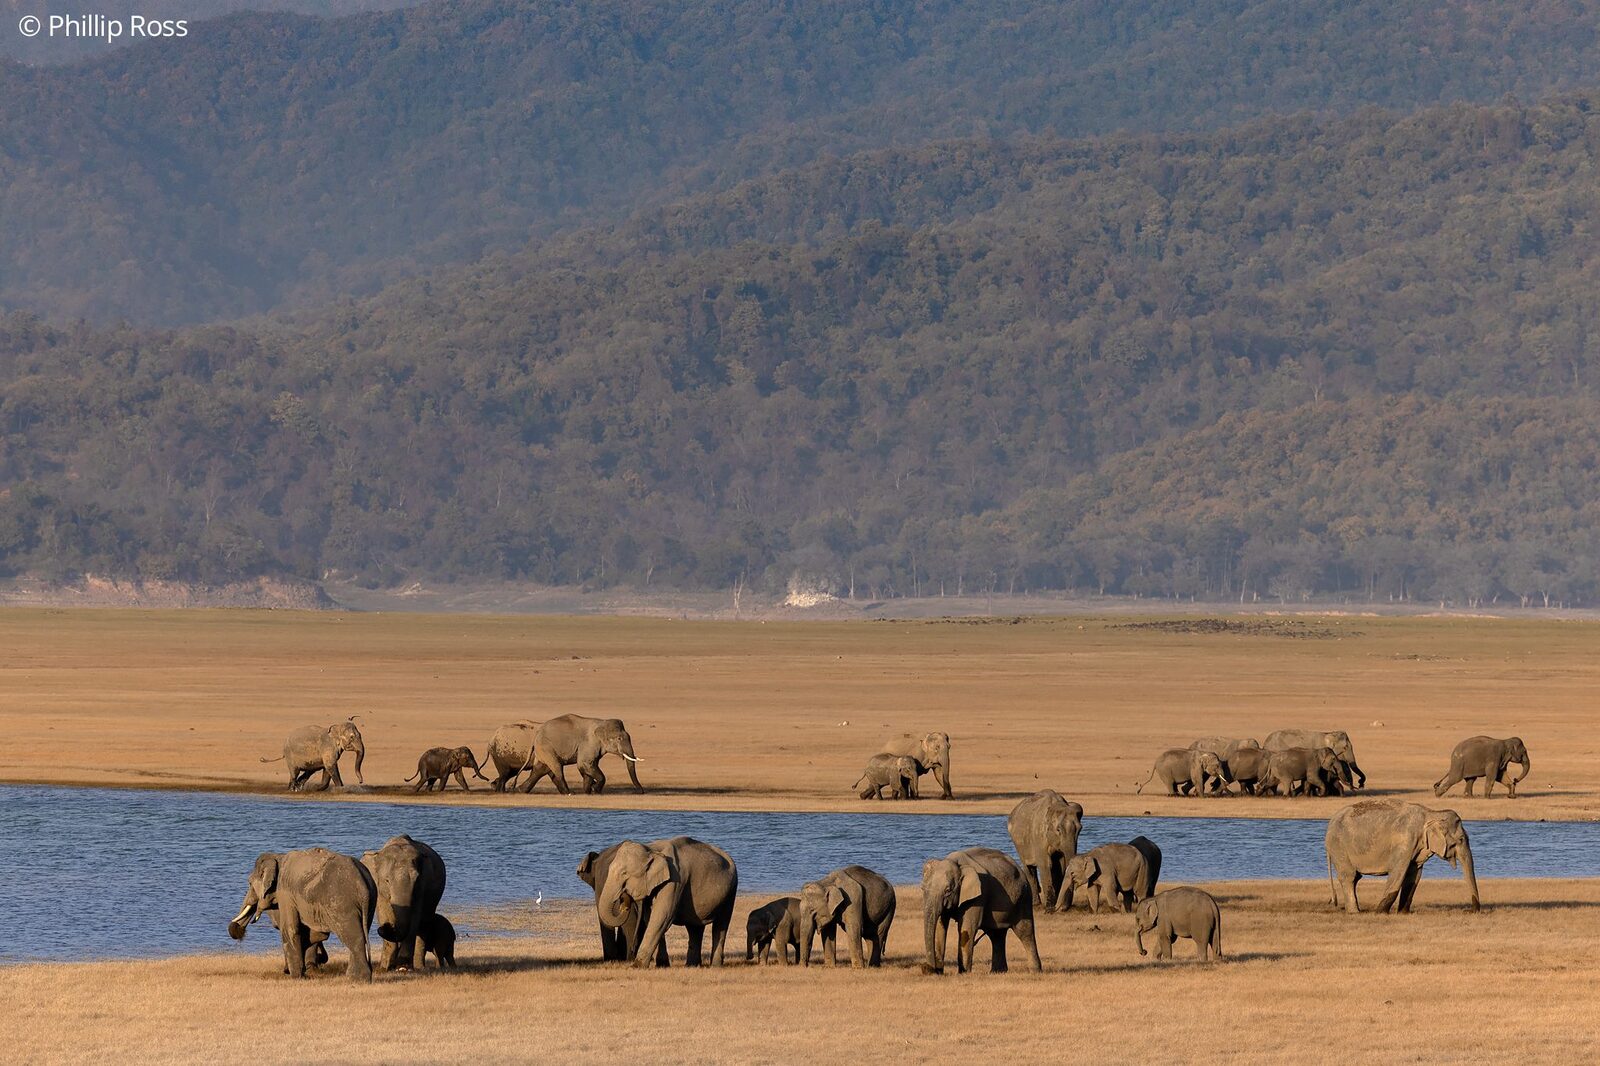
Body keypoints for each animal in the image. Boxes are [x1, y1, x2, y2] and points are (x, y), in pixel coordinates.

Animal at [228, 848, 375, 982]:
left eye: (249, 883)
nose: (236, 929)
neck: (278, 857)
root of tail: (362, 886)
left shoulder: (285, 893)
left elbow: (291, 929)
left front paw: (296, 976)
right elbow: (314, 934)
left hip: (342, 905)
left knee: (354, 937)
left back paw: (357, 979)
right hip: (370, 903)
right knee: (363, 933)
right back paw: (354, 977)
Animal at [361, 835, 446, 972]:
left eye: (417, 879)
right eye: (387, 880)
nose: (383, 928)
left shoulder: (420, 890)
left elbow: (415, 919)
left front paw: (403, 966)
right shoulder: (379, 890)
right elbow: (383, 913)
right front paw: (386, 967)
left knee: (423, 925)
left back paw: (419, 967)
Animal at [594, 837, 738, 967]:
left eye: (624, 873)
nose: (624, 897)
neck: (651, 849)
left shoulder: (675, 881)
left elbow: (662, 917)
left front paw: (637, 966)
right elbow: (650, 918)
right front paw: (662, 965)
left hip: (731, 891)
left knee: (721, 925)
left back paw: (715, 965)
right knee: (695, 927)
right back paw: (691, 965)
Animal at [1325, 799, 1480, 914]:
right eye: (1461, 839)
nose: (1470, 911)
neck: (1431, 813)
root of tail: (1330, 823)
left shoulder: (1417, 847)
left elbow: (1414, 875)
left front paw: (1403, 912)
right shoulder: (1405, 841)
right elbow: (1398, 872)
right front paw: (1380, 912)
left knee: (1356, 877)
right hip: (1339, 847)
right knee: (1349, 877)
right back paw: (1354, 912)